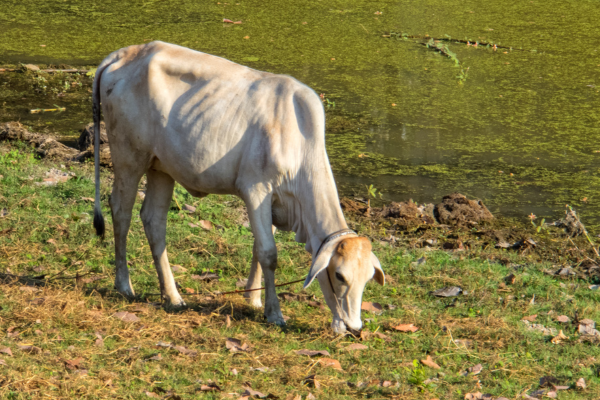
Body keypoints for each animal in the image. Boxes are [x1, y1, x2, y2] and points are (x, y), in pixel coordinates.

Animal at [94, 41, 384, 334]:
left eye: (367, 279)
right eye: (339, 275)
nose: (354, 327)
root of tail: (126, 53)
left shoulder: (272, 202)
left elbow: (258, 247)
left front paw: (253, 298)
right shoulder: (256, 189)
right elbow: (268, 253)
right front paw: (274, 313)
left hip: (161, 168)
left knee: (154, 220)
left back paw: (172, 296)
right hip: (129, 156)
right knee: (121, 211)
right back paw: (124, 285)